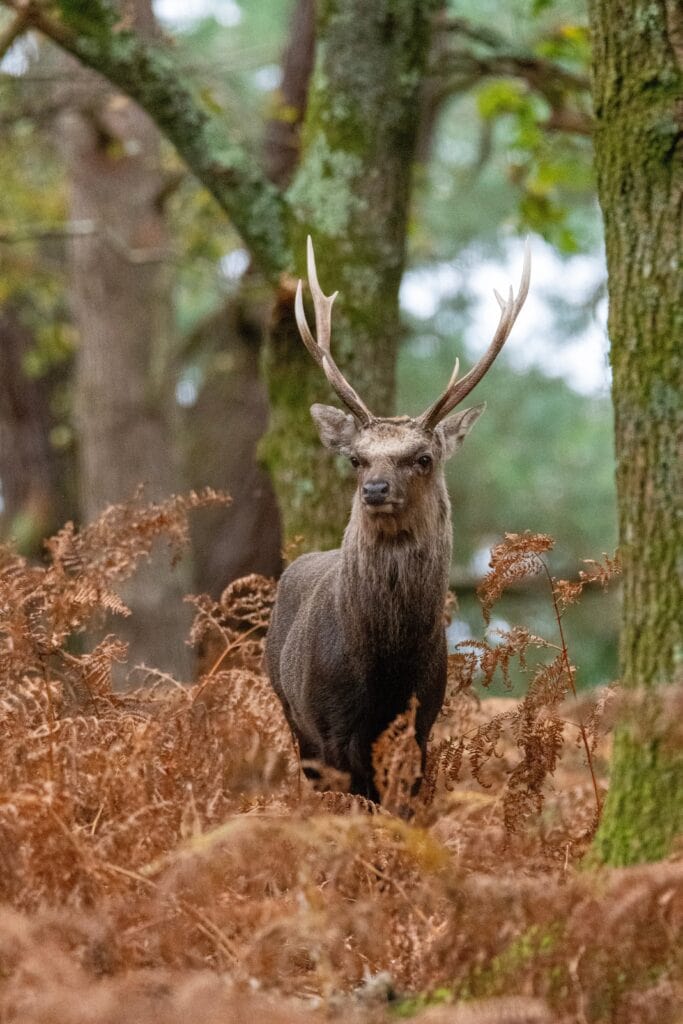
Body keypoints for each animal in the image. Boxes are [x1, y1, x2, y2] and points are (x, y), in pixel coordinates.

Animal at [265, 237, 530, 802]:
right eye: (356, 458)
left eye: (423, 457)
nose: (375, 490)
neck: (386, 667)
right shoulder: (332, 726)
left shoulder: (423, 720)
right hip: (290, 709)